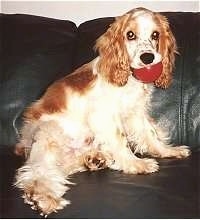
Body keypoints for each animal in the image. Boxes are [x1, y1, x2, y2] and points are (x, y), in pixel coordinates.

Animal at [14, 7, 191, 216]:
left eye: (155, 35)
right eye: (130, 35)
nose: (147, 57)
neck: (129, 81)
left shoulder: (136, 112)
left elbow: (150, 135)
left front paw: (168, 151)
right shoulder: (105, 116)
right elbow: (121, 141)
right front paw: (136, 164)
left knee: (64, 166)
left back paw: (93, 160)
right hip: (49, 135)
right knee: (38, 172)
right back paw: (43, 198)